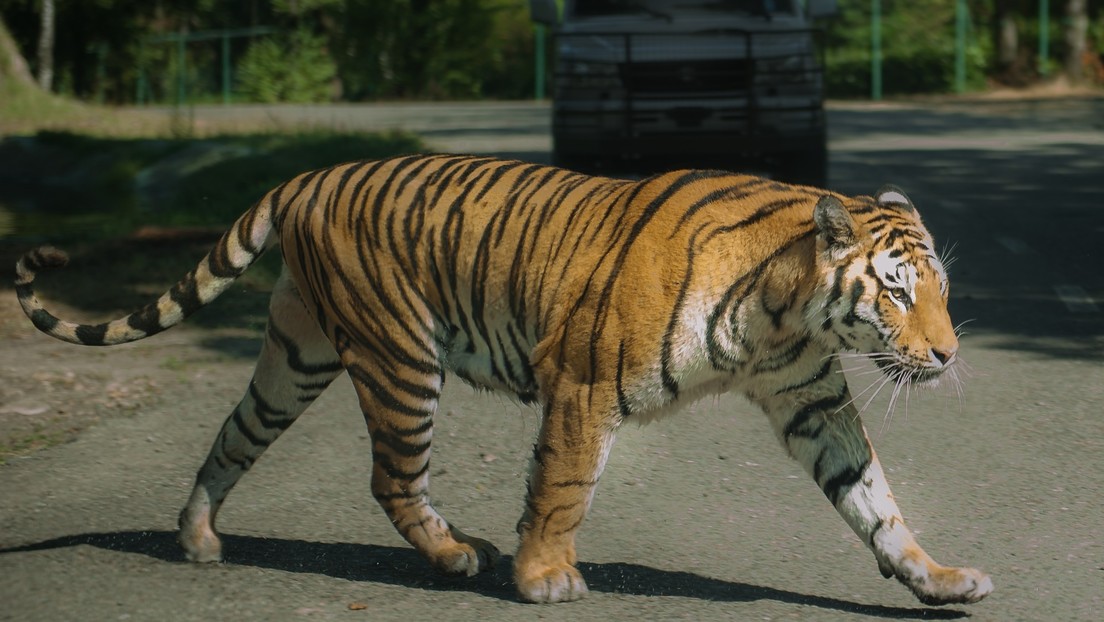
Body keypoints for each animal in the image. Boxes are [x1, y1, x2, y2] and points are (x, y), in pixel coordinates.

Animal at [12, 153, 993, 605]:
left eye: (940, 290)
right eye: (897, 292)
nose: (948, 356)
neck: (785, 313)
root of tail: (309, 173)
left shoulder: (813, 400)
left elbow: (874, 499)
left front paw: (936, 579)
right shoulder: (585, 383)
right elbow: (562, 487)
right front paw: (545, 577)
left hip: (296, 356)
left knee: (230, 436)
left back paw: (197, 538)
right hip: (401, 359)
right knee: (392, 477)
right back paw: (456, 555)